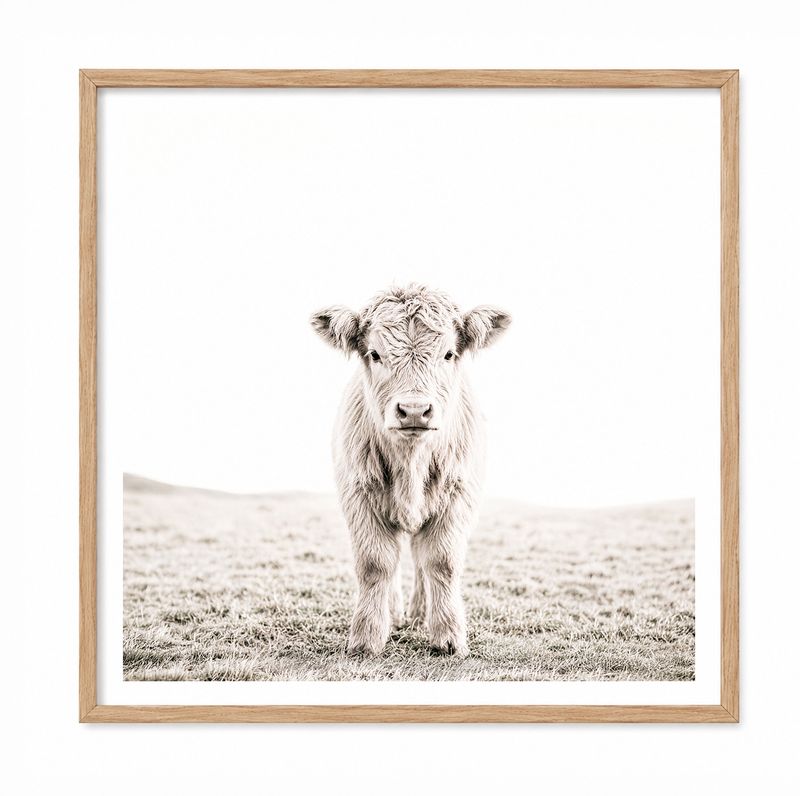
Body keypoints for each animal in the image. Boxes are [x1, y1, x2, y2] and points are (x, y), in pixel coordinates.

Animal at [311, 284, 511, 656]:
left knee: (420, 560)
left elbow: (441, 562)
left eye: (448, 354)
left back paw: (420, 613)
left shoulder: (459, 496)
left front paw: (448, 636)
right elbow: (376, 564)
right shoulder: (358, 496)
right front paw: (367, 637)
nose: (415, 410)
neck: (411, 464)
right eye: (375, 354)